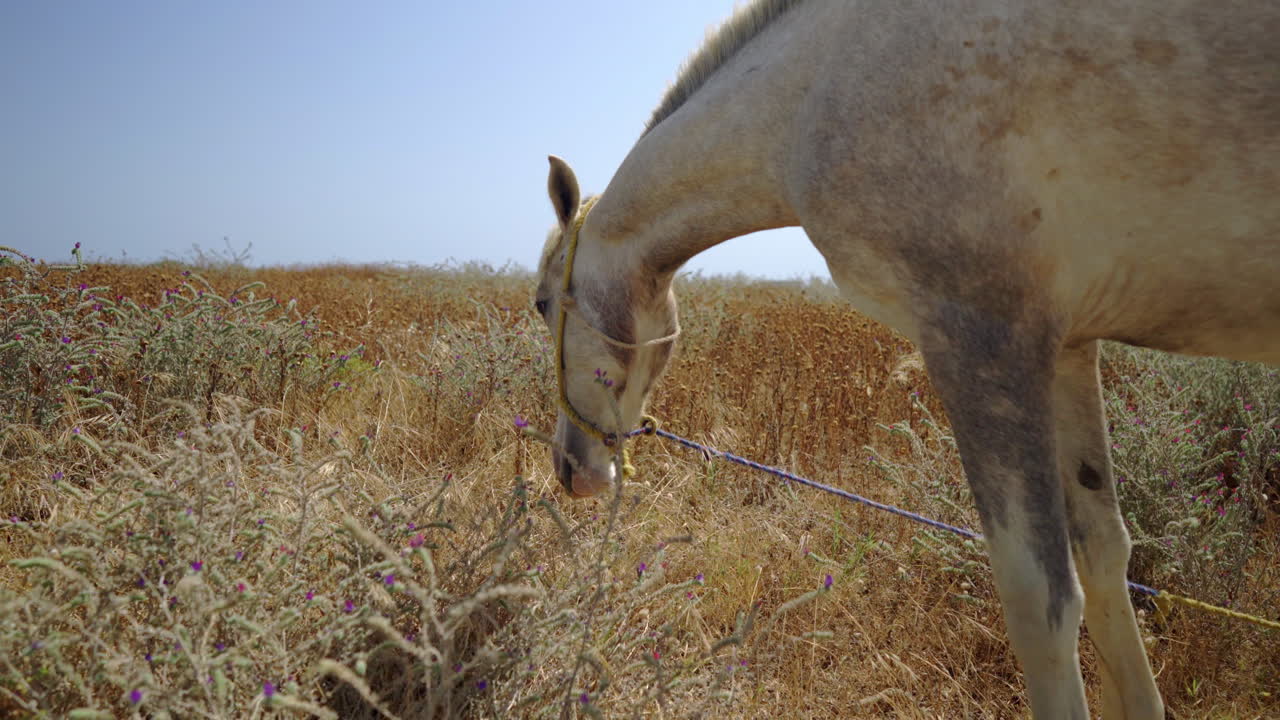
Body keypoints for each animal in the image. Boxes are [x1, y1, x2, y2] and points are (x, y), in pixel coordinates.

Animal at [532, 1, 1279, 717]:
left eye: (542, 303)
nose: (571, 467)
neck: (813, 92)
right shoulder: (1067, 348)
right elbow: (1104, 558)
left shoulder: (980, 341)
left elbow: (1039, 601)